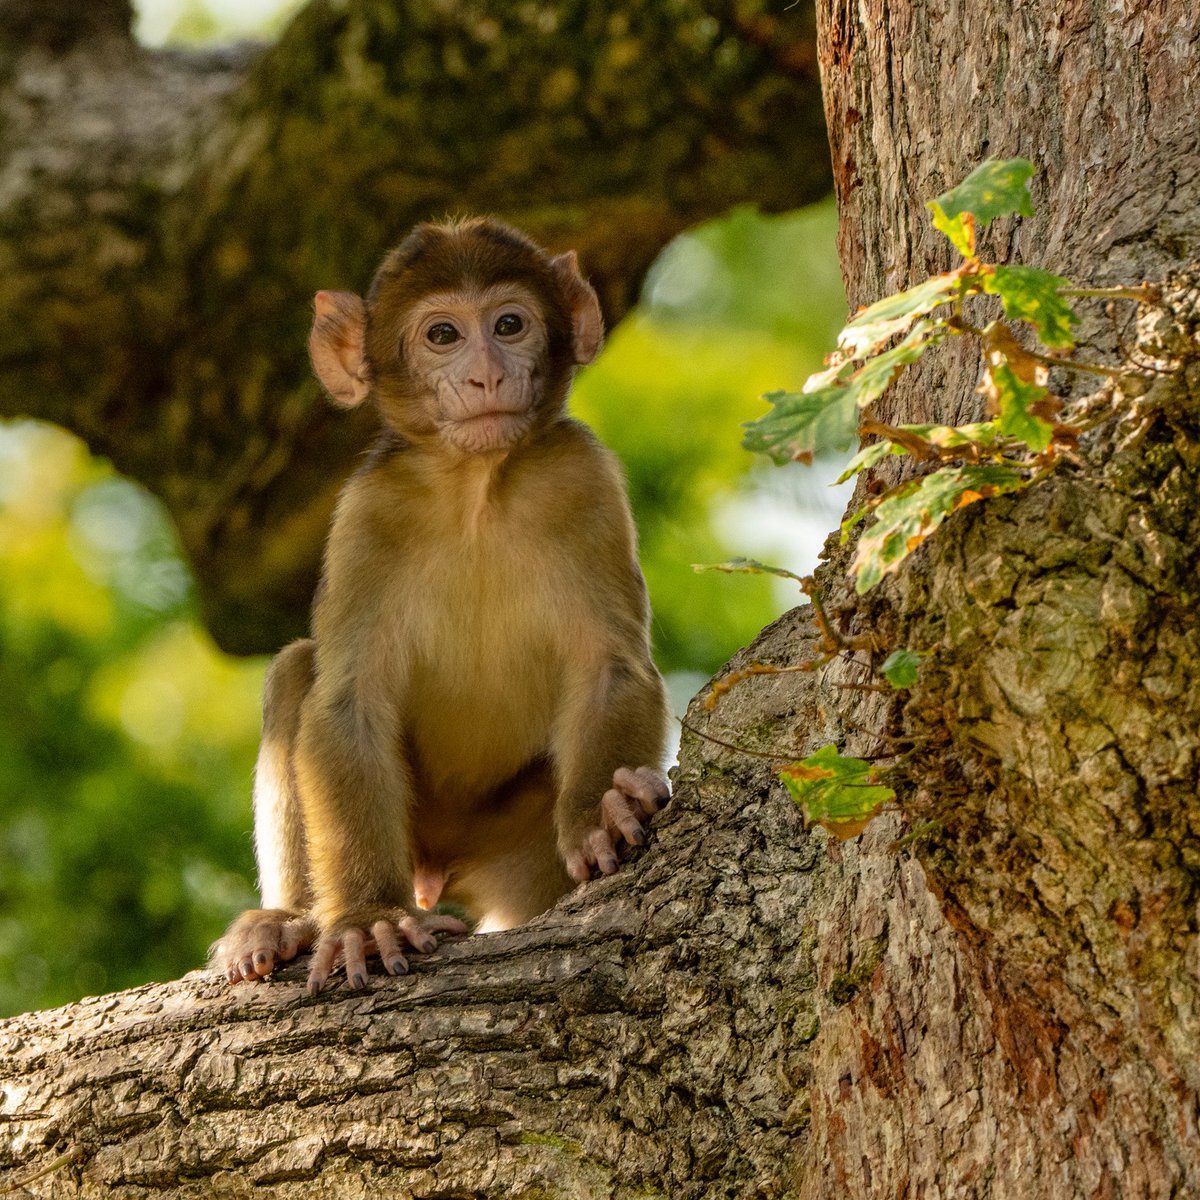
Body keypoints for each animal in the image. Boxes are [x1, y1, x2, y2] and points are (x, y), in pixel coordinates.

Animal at [215, 218, 671, 994]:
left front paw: (603, 811)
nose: (487, 375)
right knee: (298, 671)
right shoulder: (368, 514)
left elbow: (611, 666)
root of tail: (439, 867)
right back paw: (288, 922)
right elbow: (347, 702)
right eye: (443, 335)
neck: (476, 489)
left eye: (510, 324)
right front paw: (368, 919)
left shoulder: (584, 479)